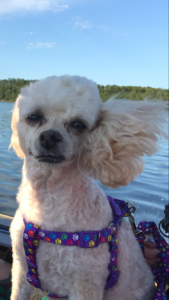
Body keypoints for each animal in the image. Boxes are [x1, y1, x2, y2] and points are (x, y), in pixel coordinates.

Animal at [9, 75, 167, 300]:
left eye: (78, 124)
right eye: (33, 116)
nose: (50, 136)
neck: (48, 199)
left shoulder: (86, 284)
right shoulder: (21, 267)